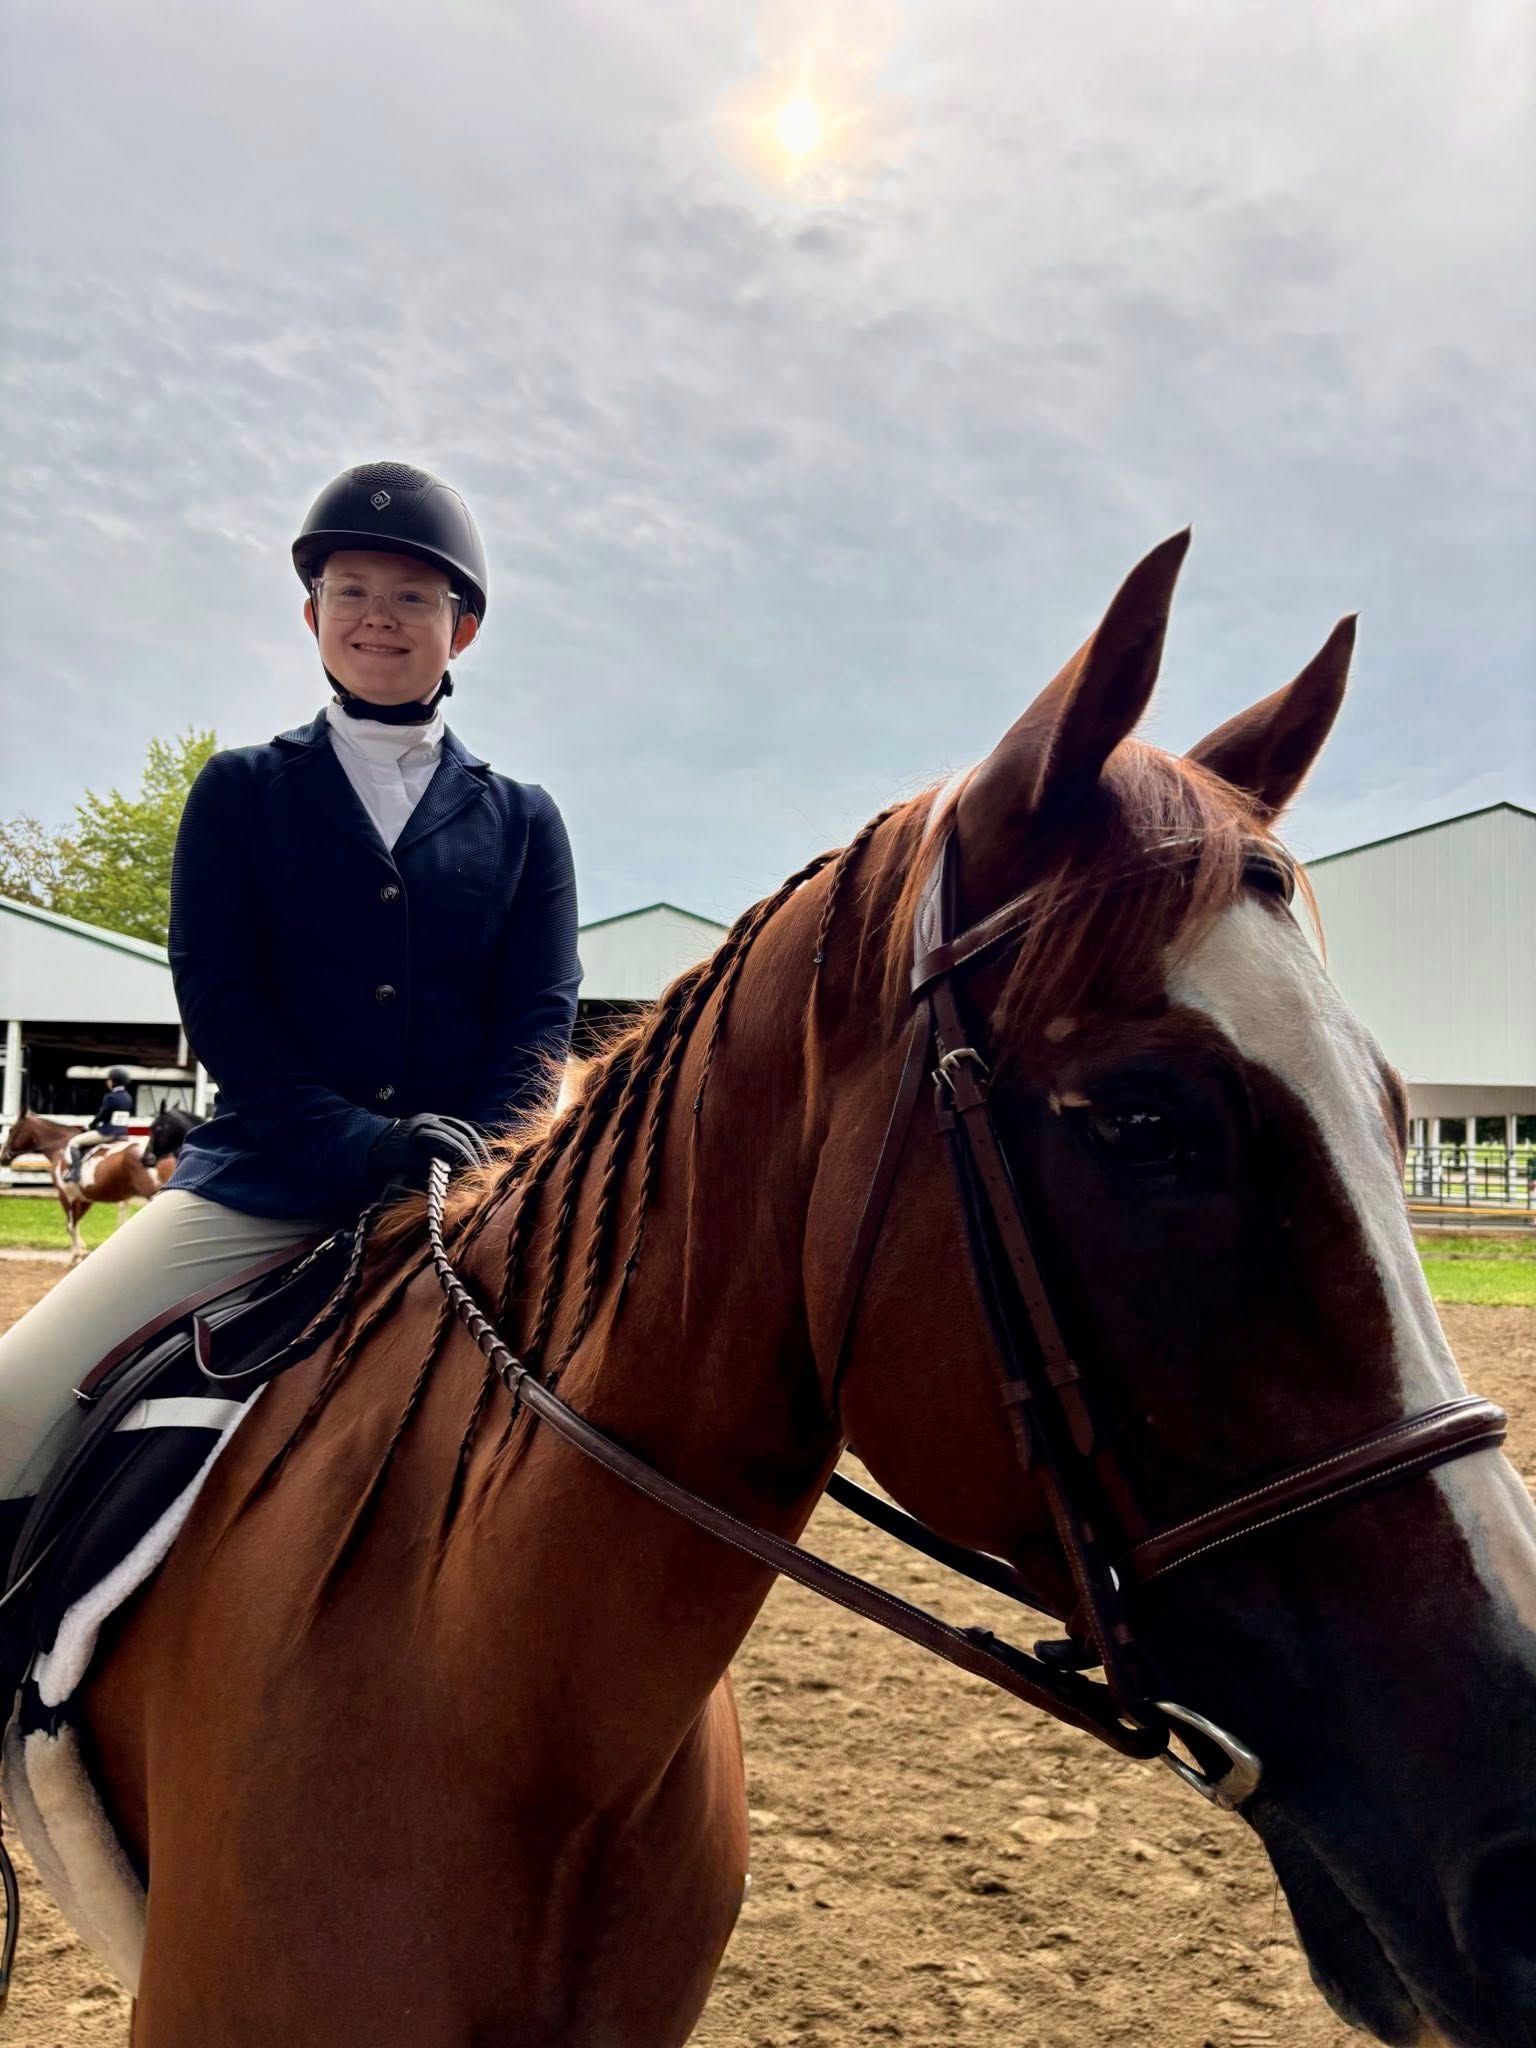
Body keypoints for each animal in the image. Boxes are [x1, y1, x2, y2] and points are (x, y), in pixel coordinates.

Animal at [0, 1113, 174, 1262]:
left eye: (11, 1130)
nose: (3, 1157)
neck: (60, 1146)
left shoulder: (65, 1195)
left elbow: (70, 1225)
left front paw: (77, 1254)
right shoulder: (85, 1198)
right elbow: (77, 1223)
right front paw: (82, 1250)